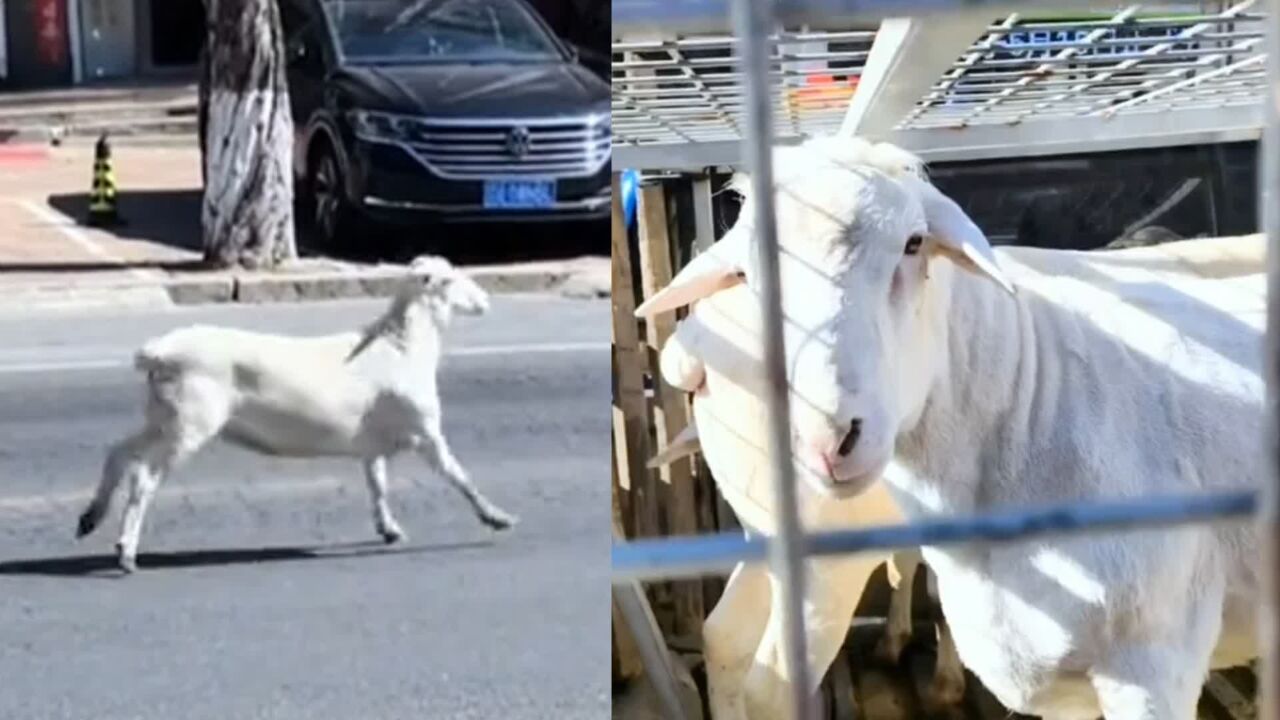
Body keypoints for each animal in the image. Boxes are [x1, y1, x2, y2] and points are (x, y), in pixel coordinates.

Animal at [73, 254, 514, 568]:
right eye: (449, 279)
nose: (486, 301)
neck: (402, 345)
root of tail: (158, 354)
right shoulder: (425, 432)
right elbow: (459, 476)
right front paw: (497, 517)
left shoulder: (371, 444)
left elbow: (378, 485)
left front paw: (389, 530)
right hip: (190, 424)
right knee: (144, 478)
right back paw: (125, 551)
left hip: (164, 416)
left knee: (119, 451)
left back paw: (89, 518)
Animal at [645, 135, 1264, 717]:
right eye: (744, 271)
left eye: (913, 243)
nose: (828, 436)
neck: (1027, 384)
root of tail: (692, 345)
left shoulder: (1146, 658)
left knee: (725, 639)